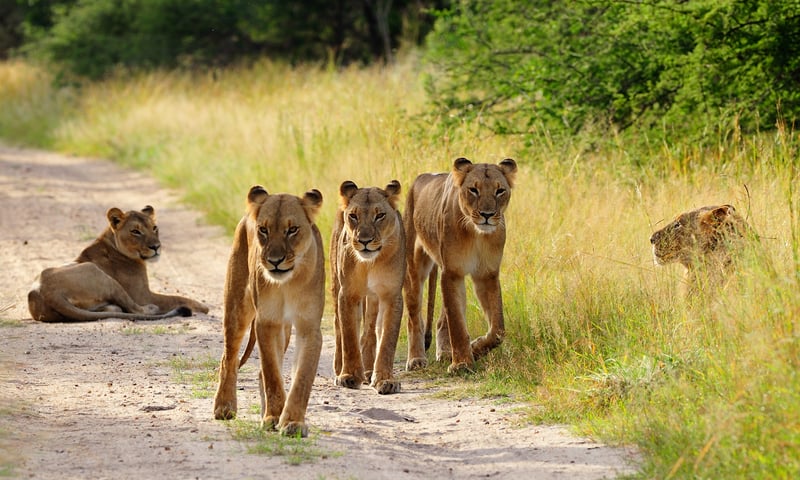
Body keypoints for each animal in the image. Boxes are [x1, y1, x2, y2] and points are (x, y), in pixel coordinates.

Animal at [27, 206, 208, 322]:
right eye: (135, 231)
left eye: (155, 228)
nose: (156, 247)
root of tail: (48, 292)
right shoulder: (142, 295)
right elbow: (177, 298)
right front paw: (204, 306)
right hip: (99, 274)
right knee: (135, 309)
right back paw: (151, 309)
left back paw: (112, 308)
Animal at [213, 186, 325, 438]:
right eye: (263, 230)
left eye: (292, 230)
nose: (275, 261)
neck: (288, 283)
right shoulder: (267, 322)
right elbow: (272, 372)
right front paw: (274, 417)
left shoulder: (309, 327)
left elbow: (302, 378)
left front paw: (292, 422)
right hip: (237, 307)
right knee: (229, 358)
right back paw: (224, 407)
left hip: (285, 330)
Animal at [330, 180, 405, 394]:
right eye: (353, 216)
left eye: (380, 215)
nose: (364, 241)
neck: (371, 263)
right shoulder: (347, 293)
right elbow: (349, 335)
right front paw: (349, 376)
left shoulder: (391, 295)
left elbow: (387, 339)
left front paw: (385, 380)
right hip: (335, 284)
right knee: (338, 326)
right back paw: (340, 368)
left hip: (373, 298)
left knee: (370, 331)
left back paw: (369, 370)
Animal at [403, 157, 517, 373]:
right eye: (473, 189)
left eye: (500, 190)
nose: (487, 214)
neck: (477, 234)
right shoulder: (452, 273)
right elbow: (456, 322)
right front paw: (463, 363)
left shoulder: (487, 274)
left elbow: (498, 330)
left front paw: (475, 349)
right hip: (414, 267)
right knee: (415, 317)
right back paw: (416, 359)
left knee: (441, 320)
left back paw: (446, 353)